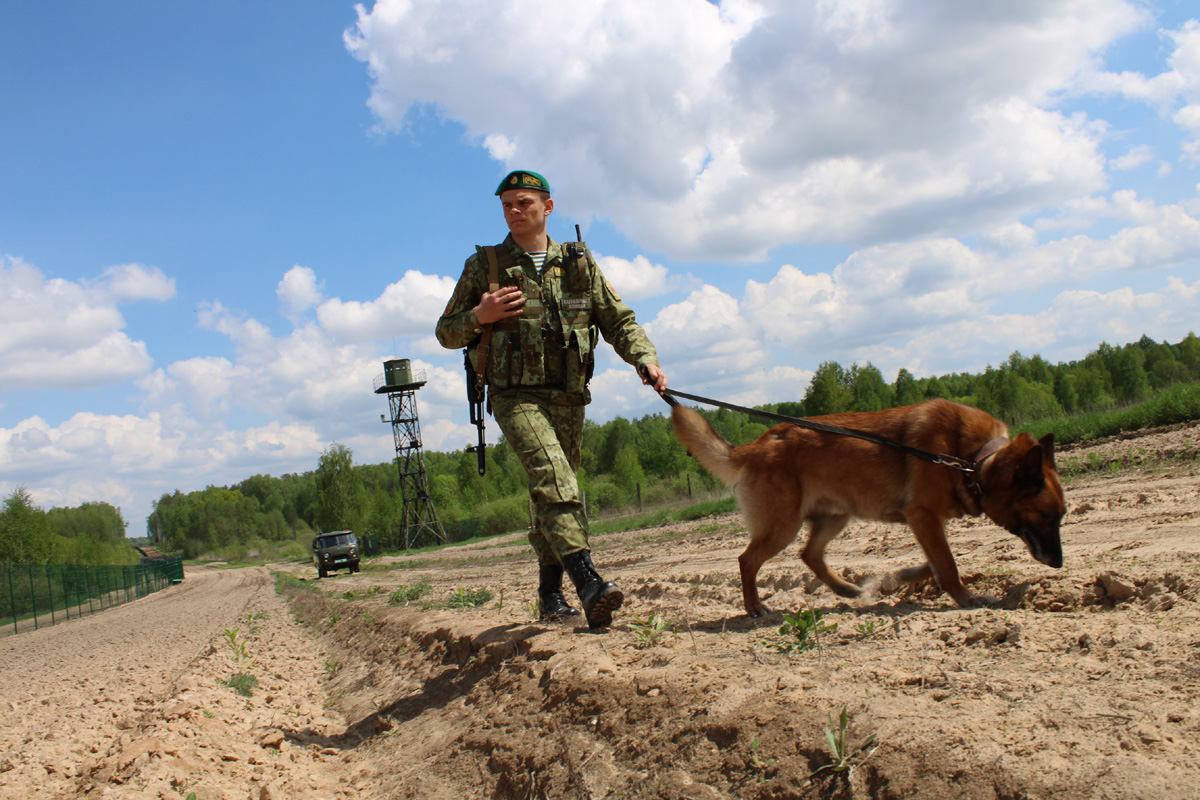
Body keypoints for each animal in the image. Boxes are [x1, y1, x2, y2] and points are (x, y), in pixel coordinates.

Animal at [672, 398, 1065, 614]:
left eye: (1062, 516)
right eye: (1046, 515)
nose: (1059, 564)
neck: (972, 460)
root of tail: (755, 445)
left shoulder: (926, 524)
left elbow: (936, 562)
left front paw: (900, 577)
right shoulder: (922, 516)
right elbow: (948, 564)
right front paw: (967, 598)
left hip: (835, 517)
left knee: (809, 555)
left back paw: (845, 589)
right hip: (782, 526)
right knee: (747, 560)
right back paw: (754, 607)